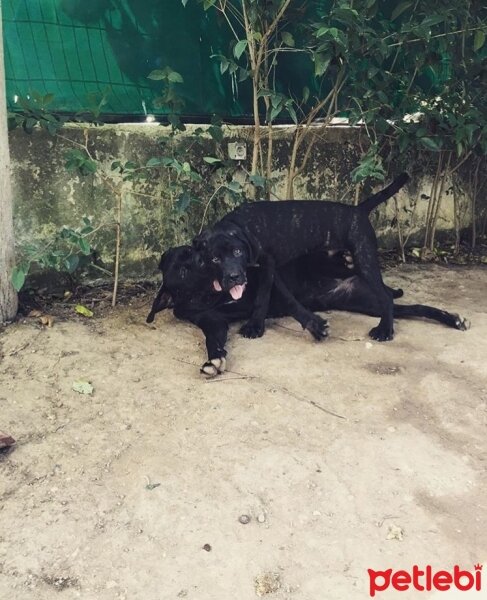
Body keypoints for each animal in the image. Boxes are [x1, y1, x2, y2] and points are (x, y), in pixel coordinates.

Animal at [146, 243, 468, 376]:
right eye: (185, 267)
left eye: (192, 252)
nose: (235, 275)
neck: (211, 294)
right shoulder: (211, 321)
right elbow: (213, 341)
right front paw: (214, 361)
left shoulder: (267, 275)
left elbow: (285, 302)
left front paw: (312, 326)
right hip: (362, 302)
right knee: (403, 306)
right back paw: (447, 319)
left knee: (393, 300)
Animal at [194, 173, 412, 342]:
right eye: (215, 259)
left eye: (237, 252)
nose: (234, 277)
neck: (240, 226)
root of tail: (358, 209)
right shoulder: (271, 270)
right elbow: (284, 298)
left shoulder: (268, 265)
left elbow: (264, 296)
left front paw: (255, 326)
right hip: (350, 262)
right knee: (384, 291)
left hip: (364, 258)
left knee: (384, 296)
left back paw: (385, 329)